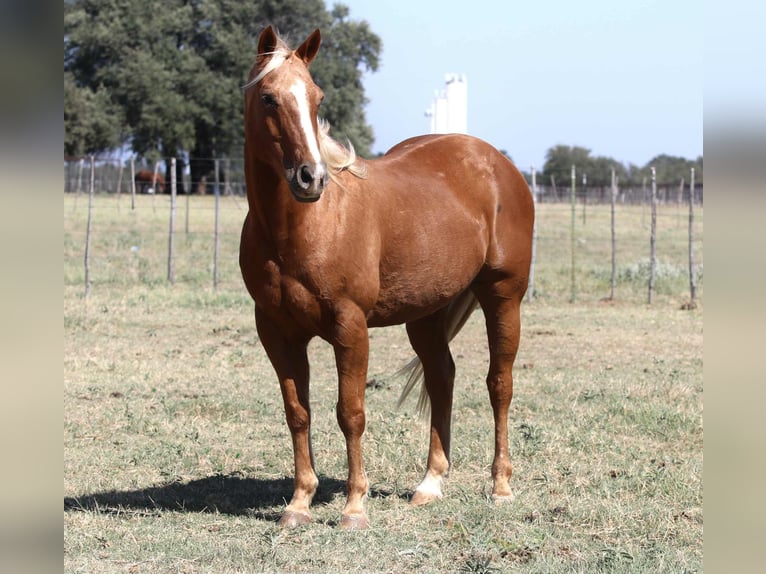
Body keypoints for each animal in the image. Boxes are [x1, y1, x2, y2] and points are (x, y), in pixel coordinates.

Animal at [239, 26, 534, 530]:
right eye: (268, 98)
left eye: (316, 97)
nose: (311, 178)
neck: (305, 227)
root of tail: (497, 163)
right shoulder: (277, 331)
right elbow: (297, 412)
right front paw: (299, 503)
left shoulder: (350, 326)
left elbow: (351, 412)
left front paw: (354, 507)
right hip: (427, 313)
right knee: (442, 377)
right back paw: (430, 484)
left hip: (503, 296)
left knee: (499, 384)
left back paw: (501, 487)